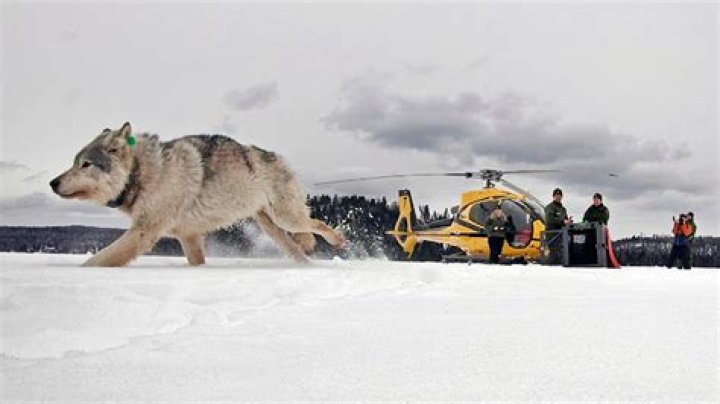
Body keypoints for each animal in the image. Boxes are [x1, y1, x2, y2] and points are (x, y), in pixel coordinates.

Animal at [50, 122, 346, 267]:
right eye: (74, 162)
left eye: (85, 164)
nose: (53, 182)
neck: (143, 172)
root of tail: (277, 156)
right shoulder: (188, 236)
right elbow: (196, 263)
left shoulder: (143, 232)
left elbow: (96, 261)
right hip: (272, 227)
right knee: (300, 248)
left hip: (286, 218)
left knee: (317, 224)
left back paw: (339, 241)